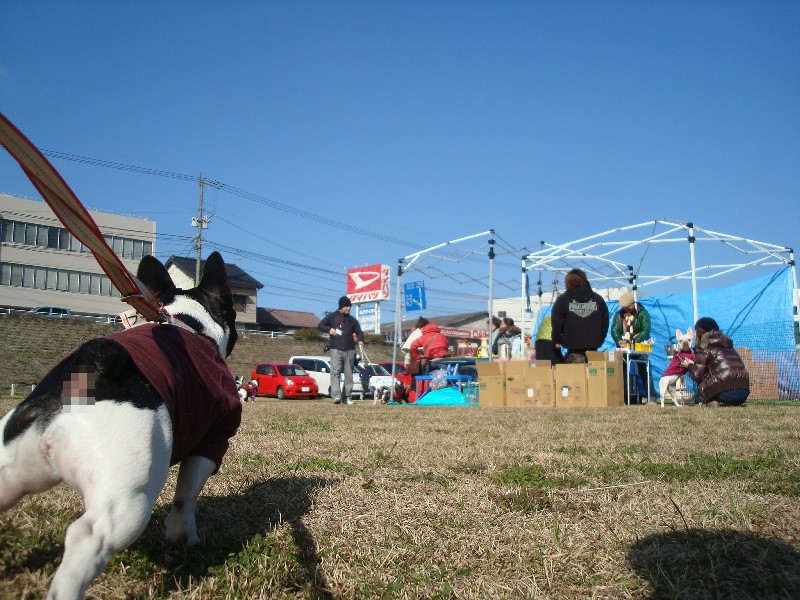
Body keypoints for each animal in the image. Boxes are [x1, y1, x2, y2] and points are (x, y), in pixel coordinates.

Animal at [0, 252, 241, 600]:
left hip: (11, 469)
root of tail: (86, 372)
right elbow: (186, 497)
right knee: (88, 537)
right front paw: (185, 539)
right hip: (128, 499)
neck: (189, 323)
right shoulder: (213, 439)